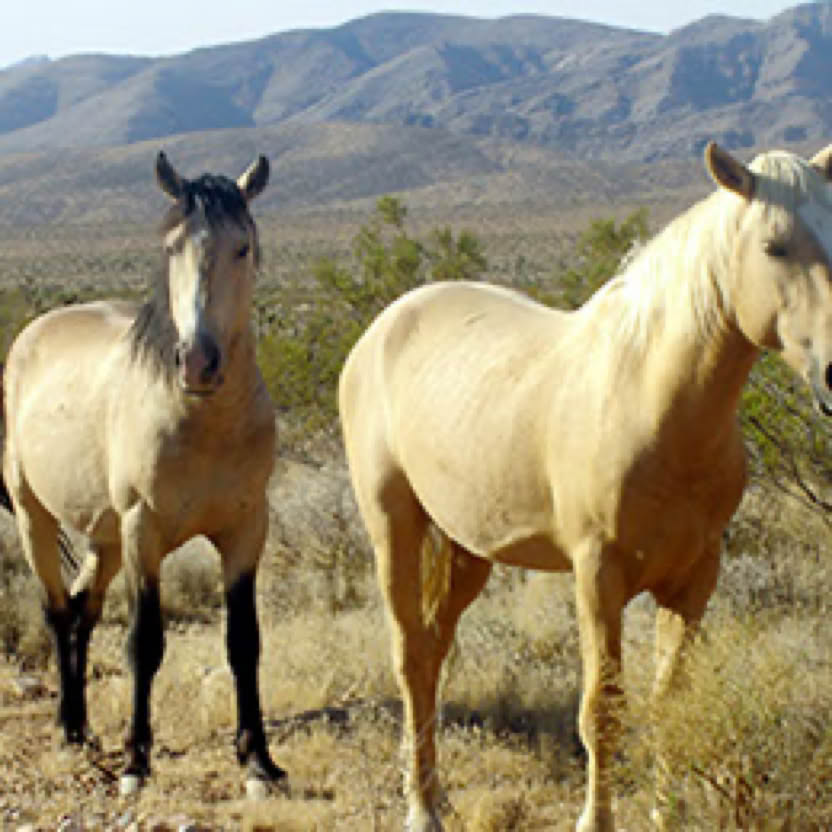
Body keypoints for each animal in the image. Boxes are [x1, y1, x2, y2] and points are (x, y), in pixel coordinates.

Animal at [1, 152, 286, 795]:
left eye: (242, 247)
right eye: (172, 246)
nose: (198, 362)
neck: (203, 424)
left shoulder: (246, 530)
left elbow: (245, 642)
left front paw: (258, 760)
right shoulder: (144, 531)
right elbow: (145, 643)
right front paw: (136, 761)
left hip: (105, 536)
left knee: (82, 609)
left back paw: (83, 727)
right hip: (37, 517)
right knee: (57, 611)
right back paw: (67, 727)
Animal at [338, 141, 832, 831]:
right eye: (775, 246)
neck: (651, 401)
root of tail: (384, 326)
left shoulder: (695, 578)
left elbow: (671, 703)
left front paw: (665, 815)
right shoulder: (598, 574)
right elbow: (603, 709)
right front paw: (596, 819)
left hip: (467, 551)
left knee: (433, 653)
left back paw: (436, 793)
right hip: (394, 527)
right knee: (410, 657)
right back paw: (421, 808)